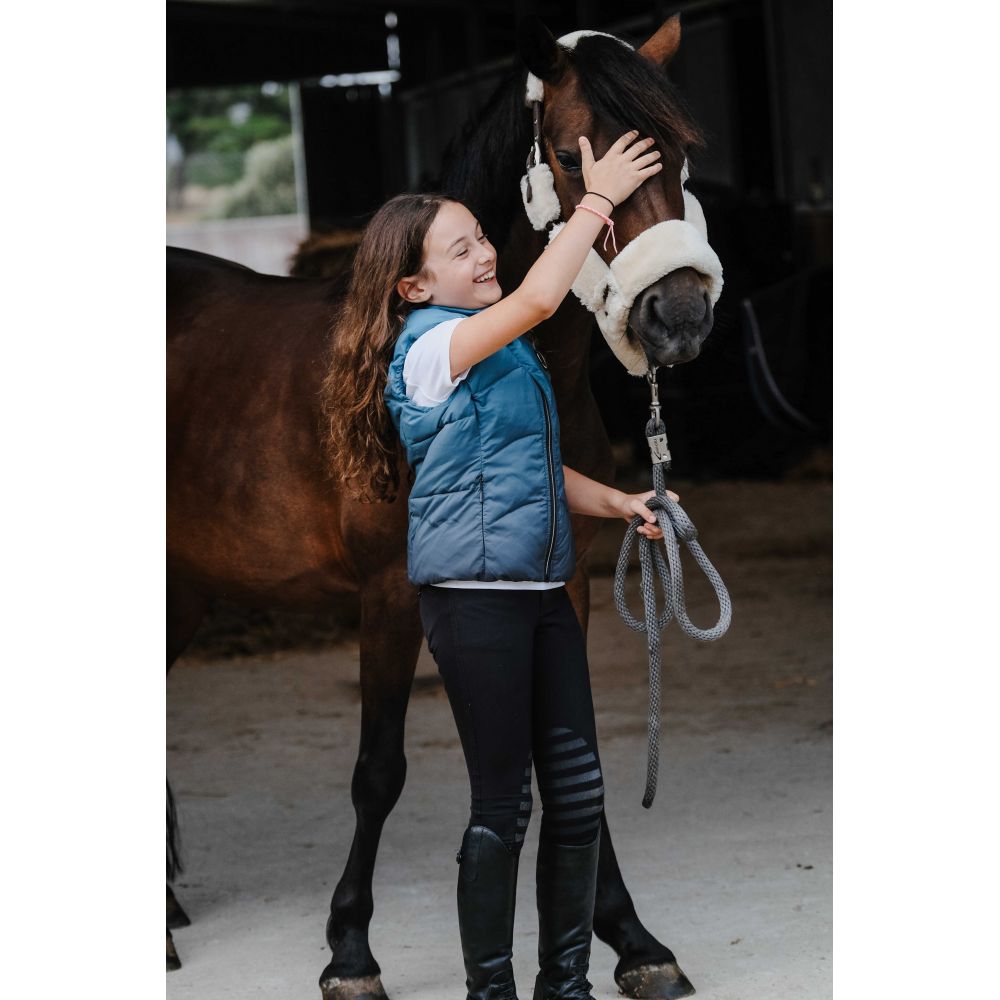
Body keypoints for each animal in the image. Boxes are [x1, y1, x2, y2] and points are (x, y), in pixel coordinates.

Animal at [167, 15, 719, 1000]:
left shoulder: (565, 586)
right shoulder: (391, 596)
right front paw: (349, 950)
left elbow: (566, 752)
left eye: (682, 156)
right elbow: (377, 771)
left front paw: (633, 938)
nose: (679, 317)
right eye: (575, 162)